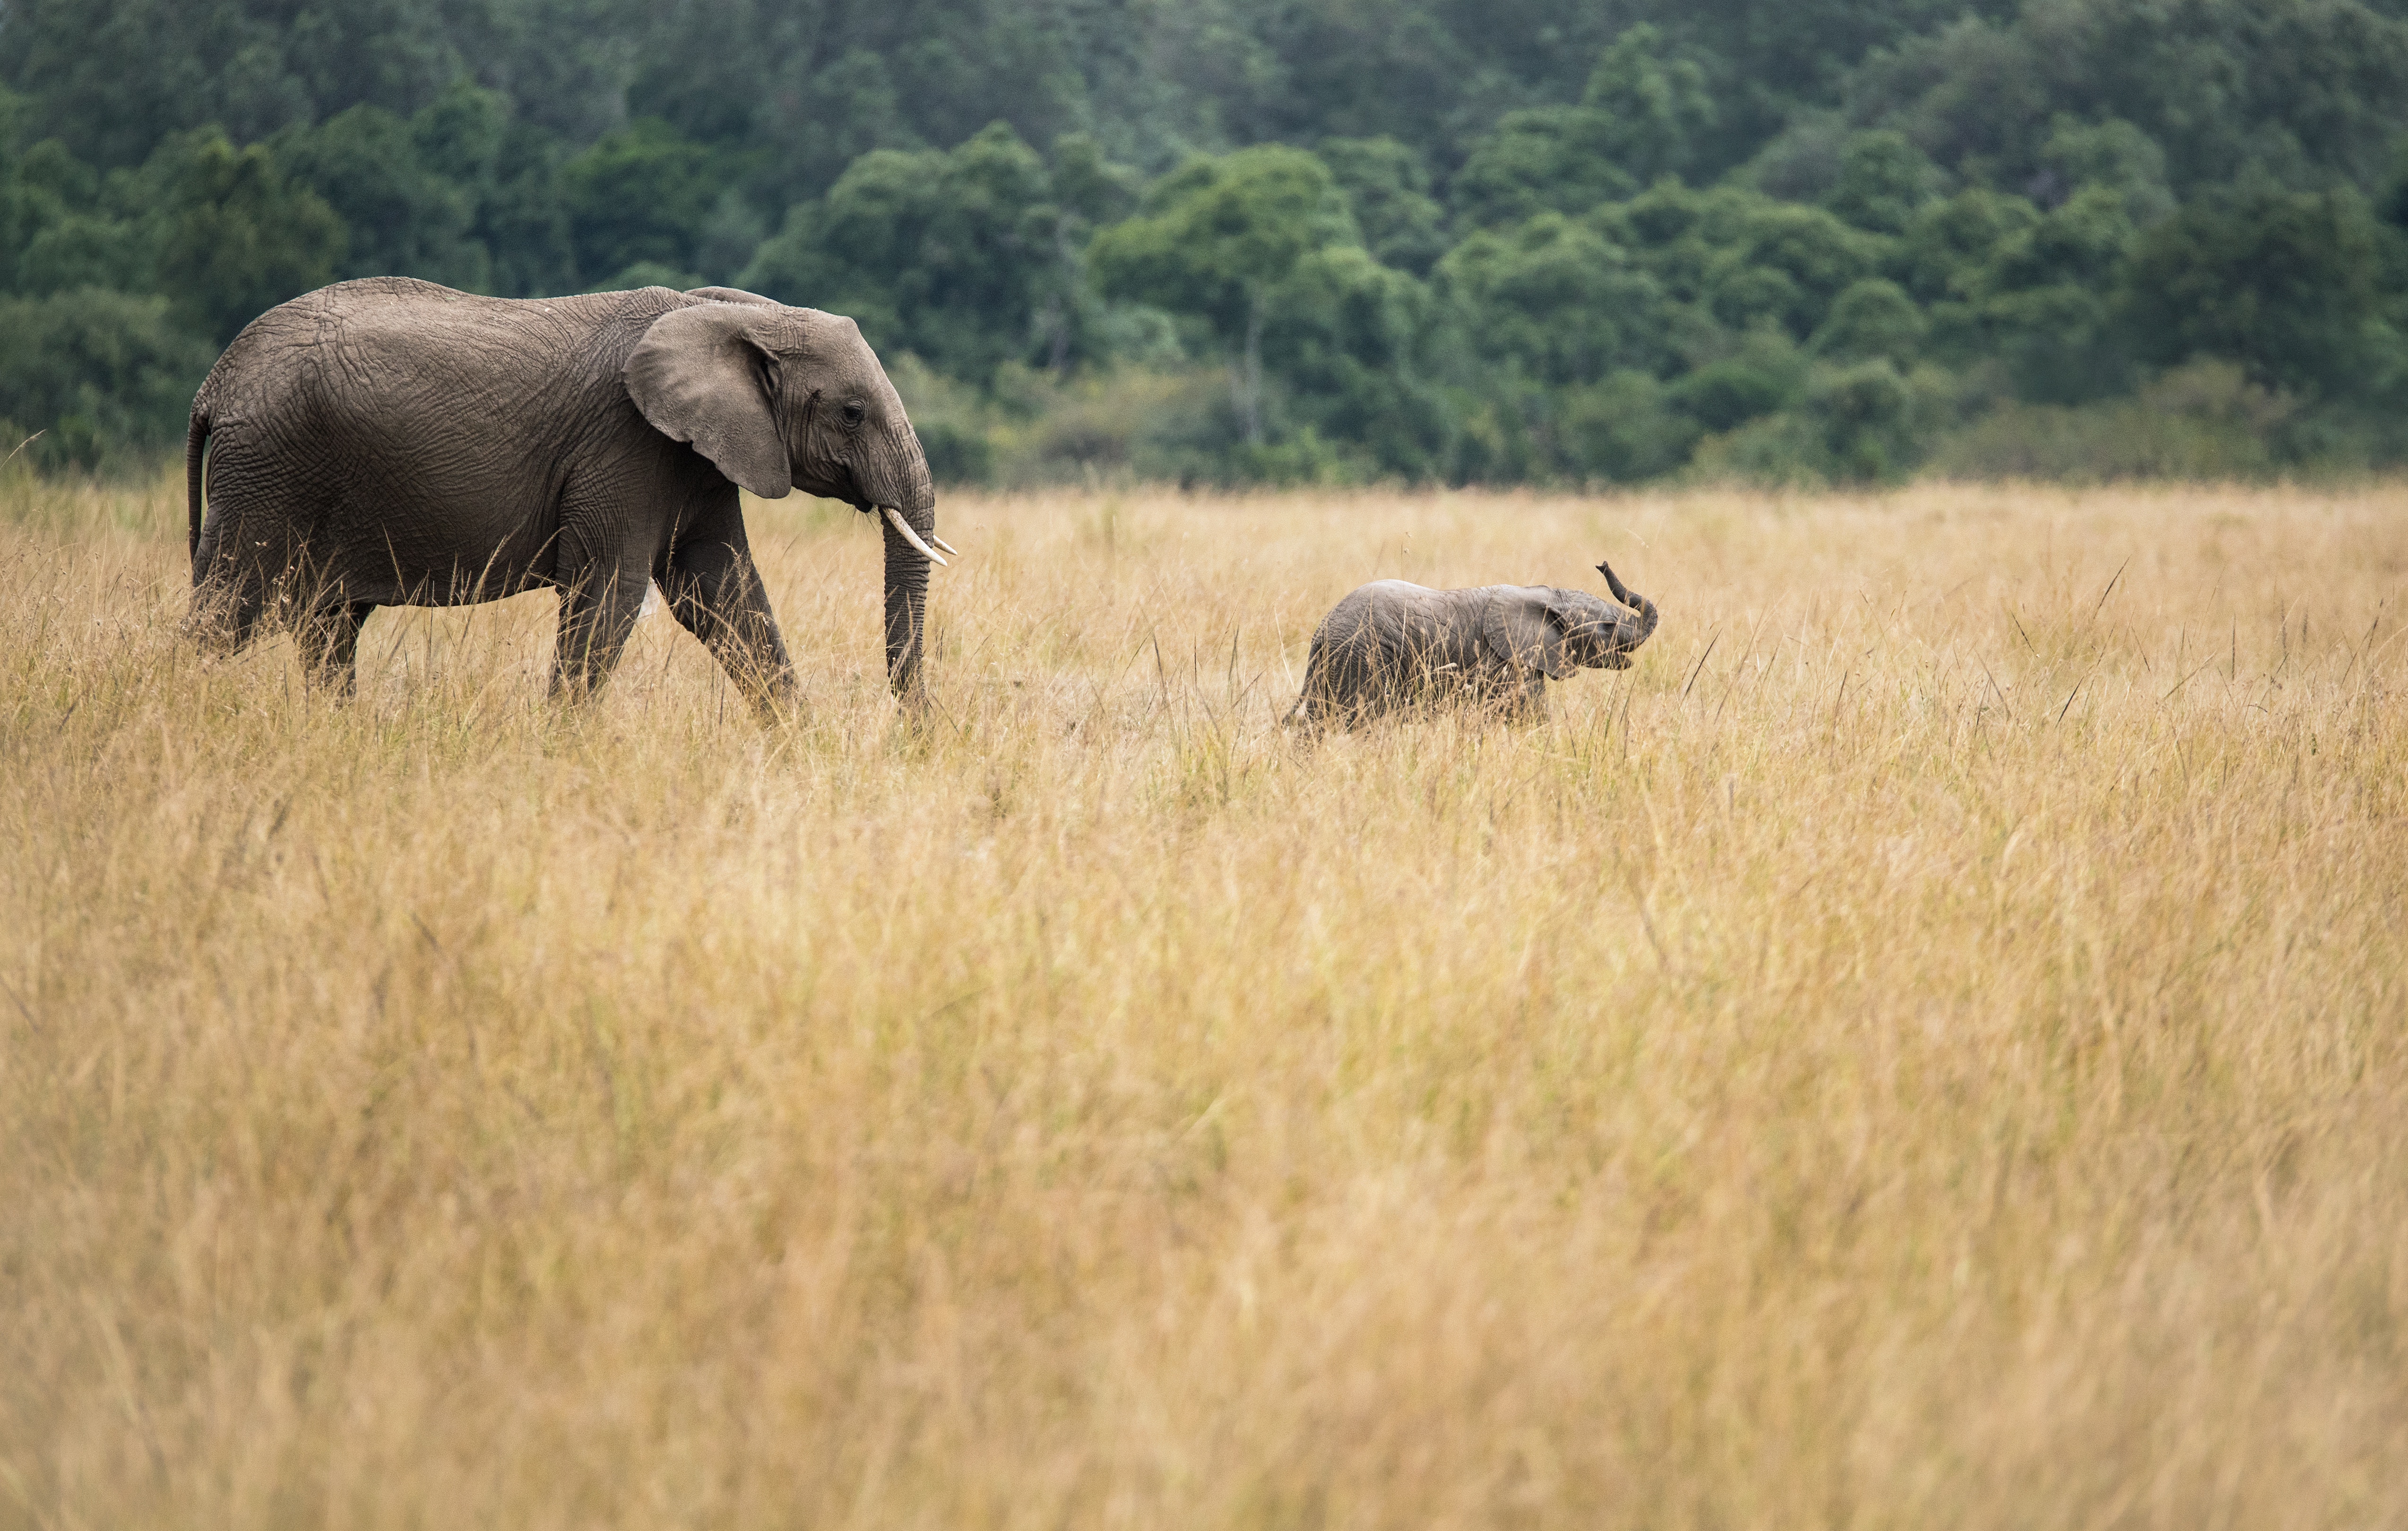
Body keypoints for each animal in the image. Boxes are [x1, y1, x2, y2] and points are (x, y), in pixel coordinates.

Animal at [183, 279, 953, 712]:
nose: (913, 735)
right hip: (270, 473)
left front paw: (801, 750)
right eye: (851, 413)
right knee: (226, 612)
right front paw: (560, 751)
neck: (730, 313)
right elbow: (609, 593)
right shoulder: (625, 446)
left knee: (329, 627)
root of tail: (215, 383)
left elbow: (722, 595)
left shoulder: (696, 456)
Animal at [1290, 563, 1666, 731]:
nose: (1602, 565)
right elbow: (1529, 716)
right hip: (1363, 657)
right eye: (1608, 627)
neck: (1543, 595)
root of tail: (1322, 631)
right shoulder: (1505, 663)